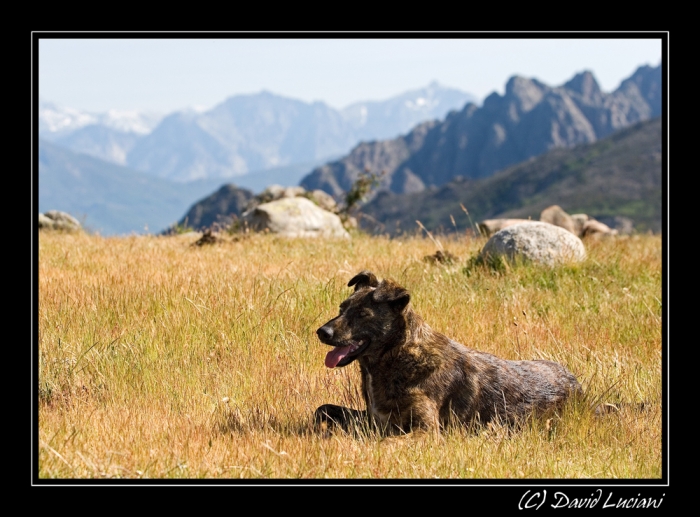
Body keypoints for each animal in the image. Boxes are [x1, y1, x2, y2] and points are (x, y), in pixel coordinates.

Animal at [314, 270, 584, 436]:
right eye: (342, 308)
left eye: (362, 314)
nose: (322, 332)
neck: (398, 355)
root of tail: (575, 381)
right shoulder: (373, 418)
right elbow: (322, 408)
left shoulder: (425, 430)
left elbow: (386, 443)